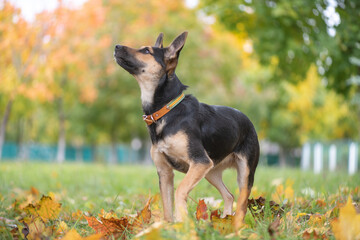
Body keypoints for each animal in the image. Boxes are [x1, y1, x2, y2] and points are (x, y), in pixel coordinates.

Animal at [114, 31, 258, 223]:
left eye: (146, 51)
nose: (116, 46)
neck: (166, 110)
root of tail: (248, 120)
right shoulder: (165, 172)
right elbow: (167, 206)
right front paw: (169, 226)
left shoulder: (199, 161)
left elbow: (180, 190)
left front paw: (182, 219)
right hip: (211, 170)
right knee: (229, 196)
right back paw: (224, 220)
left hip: (243, 173)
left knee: (241, 204)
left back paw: (235, 225)